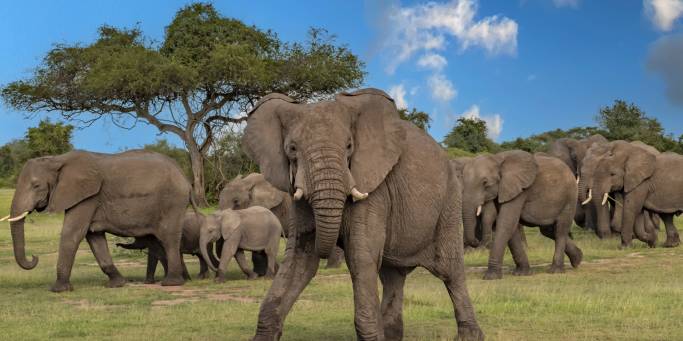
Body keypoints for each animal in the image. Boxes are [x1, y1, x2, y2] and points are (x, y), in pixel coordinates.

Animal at [4, 149, 192, 290]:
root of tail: (183, 174)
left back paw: (171, 283)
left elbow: (72, 233)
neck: (57, 160)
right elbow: (94, 237)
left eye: (36, 186)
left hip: (172, 202)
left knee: (168, 238)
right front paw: (117, 284)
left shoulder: (88, 197)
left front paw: (58, 289)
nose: (34, 257)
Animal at [243, 89, 484, 338]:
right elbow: (300, 259)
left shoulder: (375, 189)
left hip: (449, 200)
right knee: (392, 276)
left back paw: (470, 336)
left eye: (349, 146)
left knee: (449, 270)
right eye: (292, 149)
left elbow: (361, 257)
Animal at [460, 150, 584, 278]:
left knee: (560, 230)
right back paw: (577, 260)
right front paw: (522, 273)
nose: (476, 242)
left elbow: (506, 223)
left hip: (569, 198)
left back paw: (556, 270)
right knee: (548, 230)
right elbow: (511, 227)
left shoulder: (519, 190)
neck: (497, 159)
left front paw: (491, 276)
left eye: (485, 183)